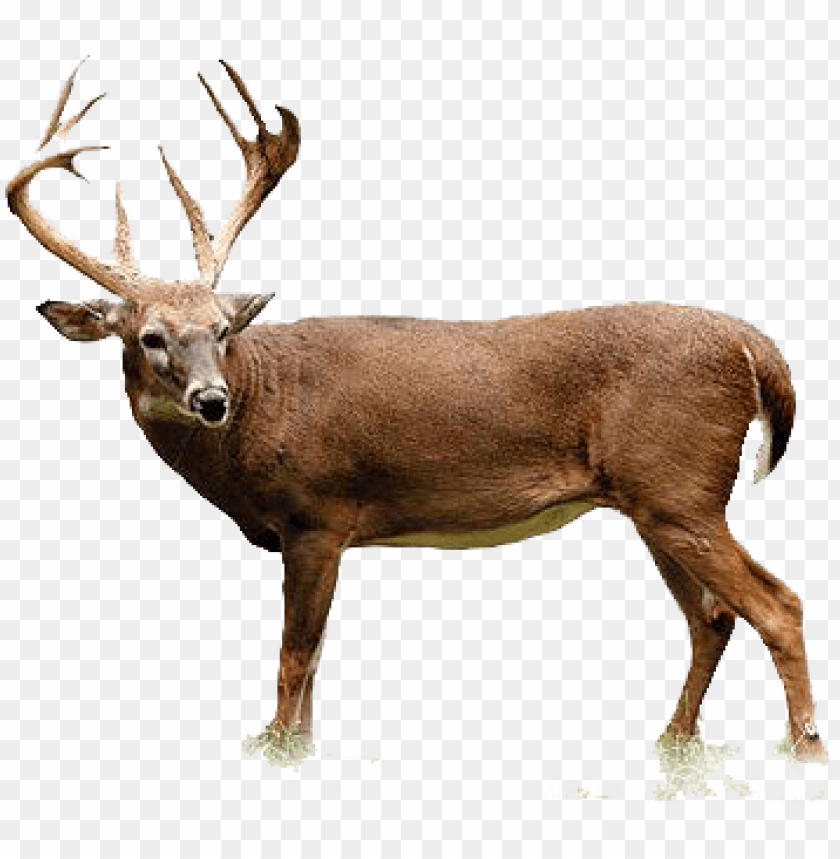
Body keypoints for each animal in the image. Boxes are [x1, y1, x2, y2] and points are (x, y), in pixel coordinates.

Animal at [8, 60, 826, 765]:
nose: (212, 399)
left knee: (777, 603)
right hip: (653, 500)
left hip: (680, 485)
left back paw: (803, 747)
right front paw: (301, 753)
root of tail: (755, 347)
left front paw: (274, 750)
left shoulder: (318, 511)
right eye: (150, 336)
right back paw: (674, 741)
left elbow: (293, 656)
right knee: (713, 617)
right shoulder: (322, 531)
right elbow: (313, 665)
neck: (262, 407)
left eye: (221, 328)